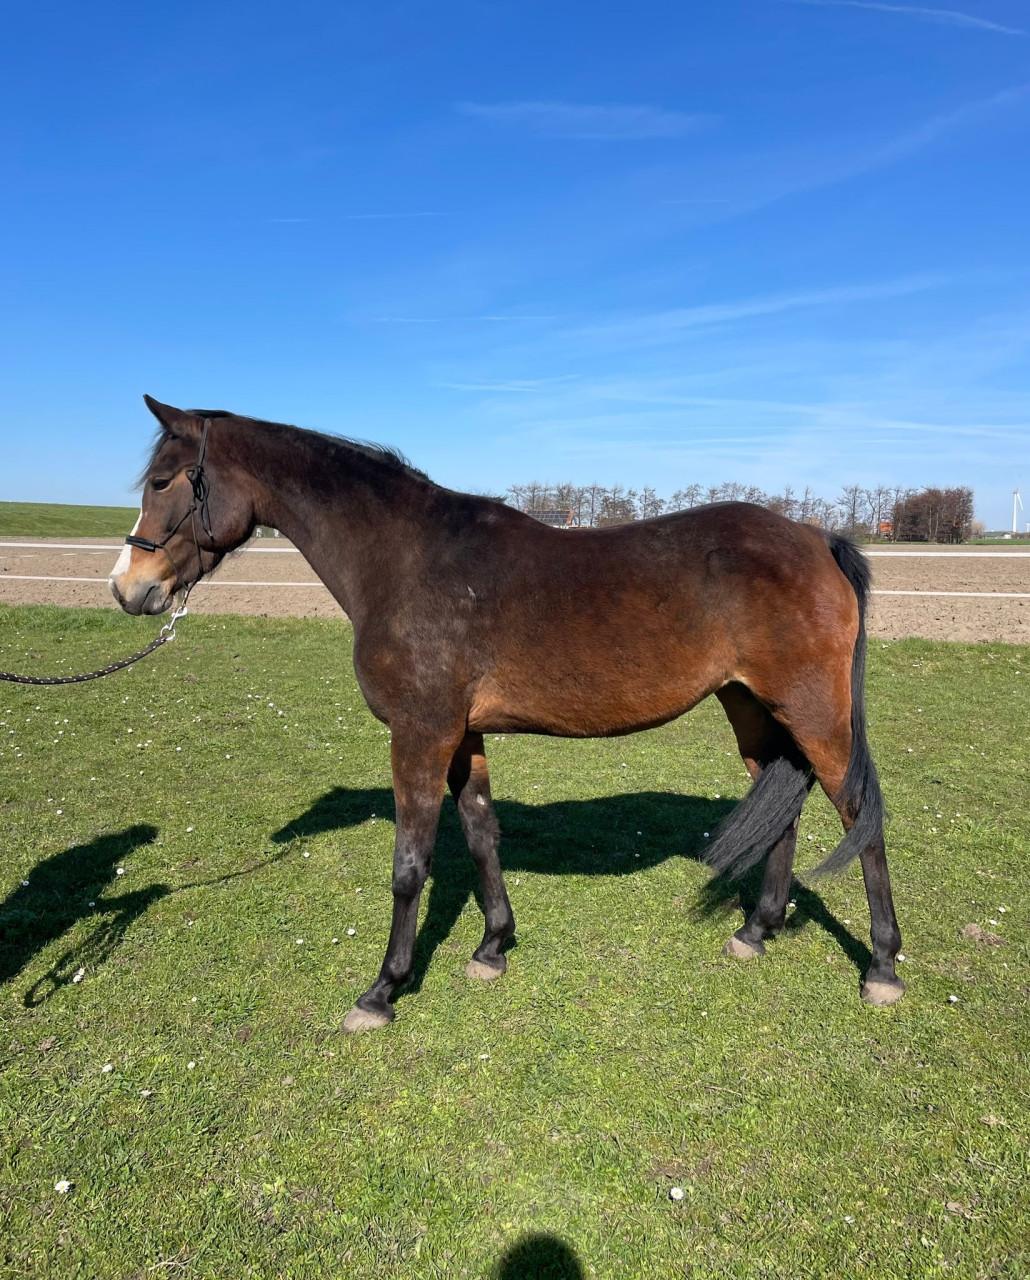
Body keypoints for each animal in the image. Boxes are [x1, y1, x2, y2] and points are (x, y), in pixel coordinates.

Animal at [110, 396, 904, 1031]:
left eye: (161, 481)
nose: (128, 588)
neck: (406, 560)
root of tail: (816, 538)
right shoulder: (462, 736)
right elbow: (481, 833)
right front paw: (492, 947)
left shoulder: (421, 734)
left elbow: (410, 864)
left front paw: (382, 991)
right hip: (754, 708)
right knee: (784, 808)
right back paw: (756, 931)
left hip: (815, 714)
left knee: (860, 817)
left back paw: (883, 966)